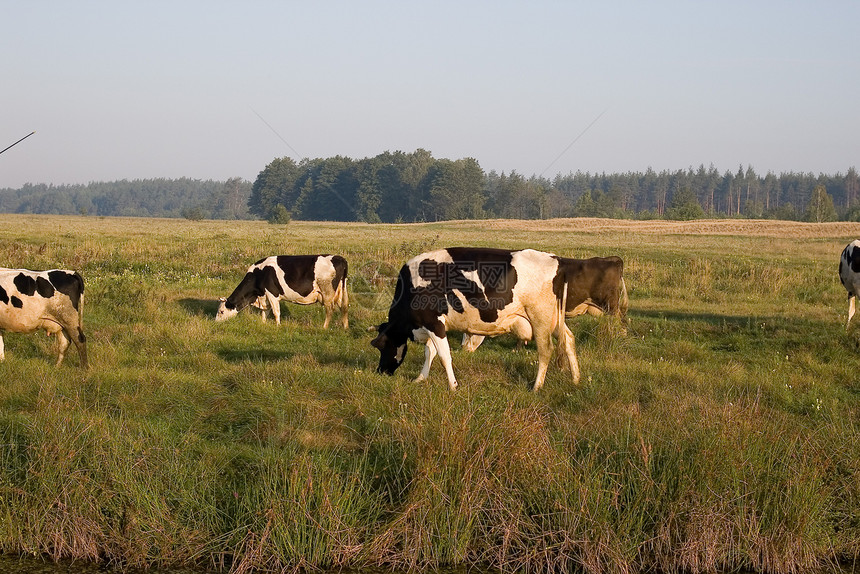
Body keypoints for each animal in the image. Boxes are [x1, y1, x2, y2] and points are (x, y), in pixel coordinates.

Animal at [215, 255, 350, 330]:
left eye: (221, 311)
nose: (215, 322)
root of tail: (339, 258)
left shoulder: (272, 294)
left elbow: (276, 312)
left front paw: (278, 326)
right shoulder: (264, 296)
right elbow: (265, 311)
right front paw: (263, 323)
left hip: (327, 292)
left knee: (330, 309)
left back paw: (324, 327)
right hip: (340, 291)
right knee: (343, 307)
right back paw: (345, 327)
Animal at [370, 248, 576, 392]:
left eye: (382, 346)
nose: (381, 371)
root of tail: (555, 259)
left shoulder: (433, 323)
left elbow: (444, 356)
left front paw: (453, 386)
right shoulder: (434, 324)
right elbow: (430, 352)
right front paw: (420, 378)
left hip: (540, 318)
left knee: (545, 350)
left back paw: (536, 387)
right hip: (555, 320)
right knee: (569, 339)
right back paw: (576, 379)